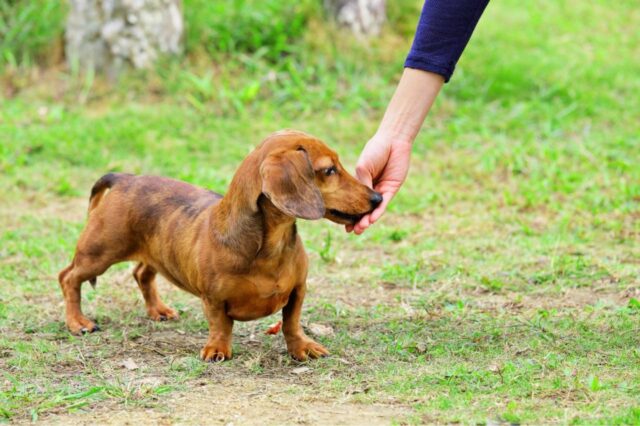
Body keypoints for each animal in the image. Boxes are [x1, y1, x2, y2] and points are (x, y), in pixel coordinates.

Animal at [57, 129, 382, 360]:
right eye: (329, 170)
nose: (377, 198)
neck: (270, 246)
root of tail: (125, 178)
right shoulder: (213, 298)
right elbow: (220, 324)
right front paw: (217, 349)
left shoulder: (298, 291)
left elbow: (292, 322)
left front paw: (302, 347)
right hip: (99, 252)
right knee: (68, 277)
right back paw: (77, 322)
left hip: (154, 253)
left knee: (141, 274)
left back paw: (158, 310)